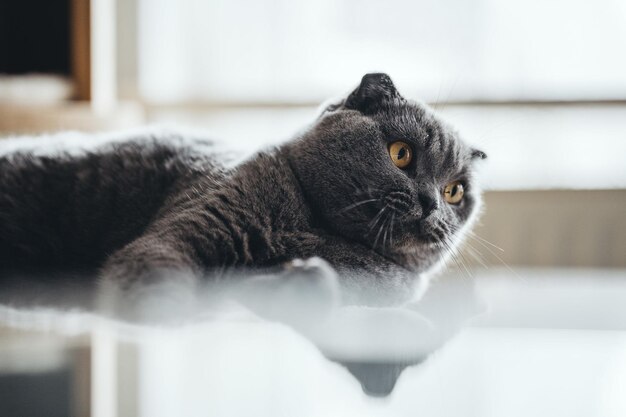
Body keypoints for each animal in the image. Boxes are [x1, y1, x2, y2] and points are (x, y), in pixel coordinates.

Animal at [0, 73, 486, 308]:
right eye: (401, 153)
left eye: (454, 192)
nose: (431, 202)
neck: (314, 231)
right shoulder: (186, 228)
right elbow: (158, 275)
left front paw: (298, 282)